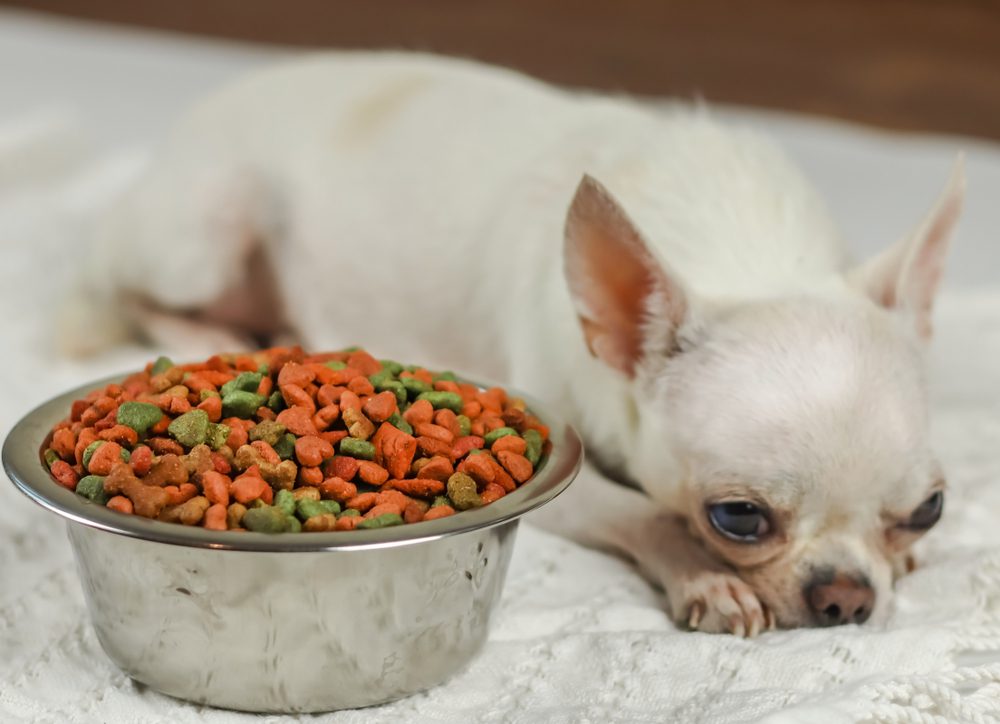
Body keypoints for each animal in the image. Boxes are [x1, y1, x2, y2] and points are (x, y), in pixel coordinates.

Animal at [66, 53, 964, 636]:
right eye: (738, 518)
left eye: (929, 510)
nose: (846, 598)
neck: (744, 253)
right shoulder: (565, 461)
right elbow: (647, 514)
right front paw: (707, 577)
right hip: (202, 232)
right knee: (133, 294)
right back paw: (228, 329)